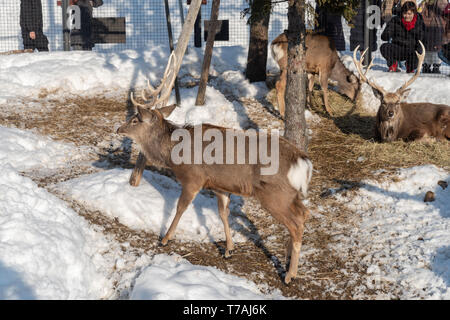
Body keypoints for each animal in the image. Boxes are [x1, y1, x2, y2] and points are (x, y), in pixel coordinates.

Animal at [118, 53, 314, 284]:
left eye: (135, 119)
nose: (119, 128)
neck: (174, 153)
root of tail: (302, 161)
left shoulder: (193, 178)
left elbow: (180, 208)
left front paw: (165, 238)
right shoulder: (221, 186)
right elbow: (223, 213)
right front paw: (229, 249)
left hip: (275, 194)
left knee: (296, 223)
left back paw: (290, 275)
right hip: (292, 194)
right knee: (305, 214)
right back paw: (288, 260)